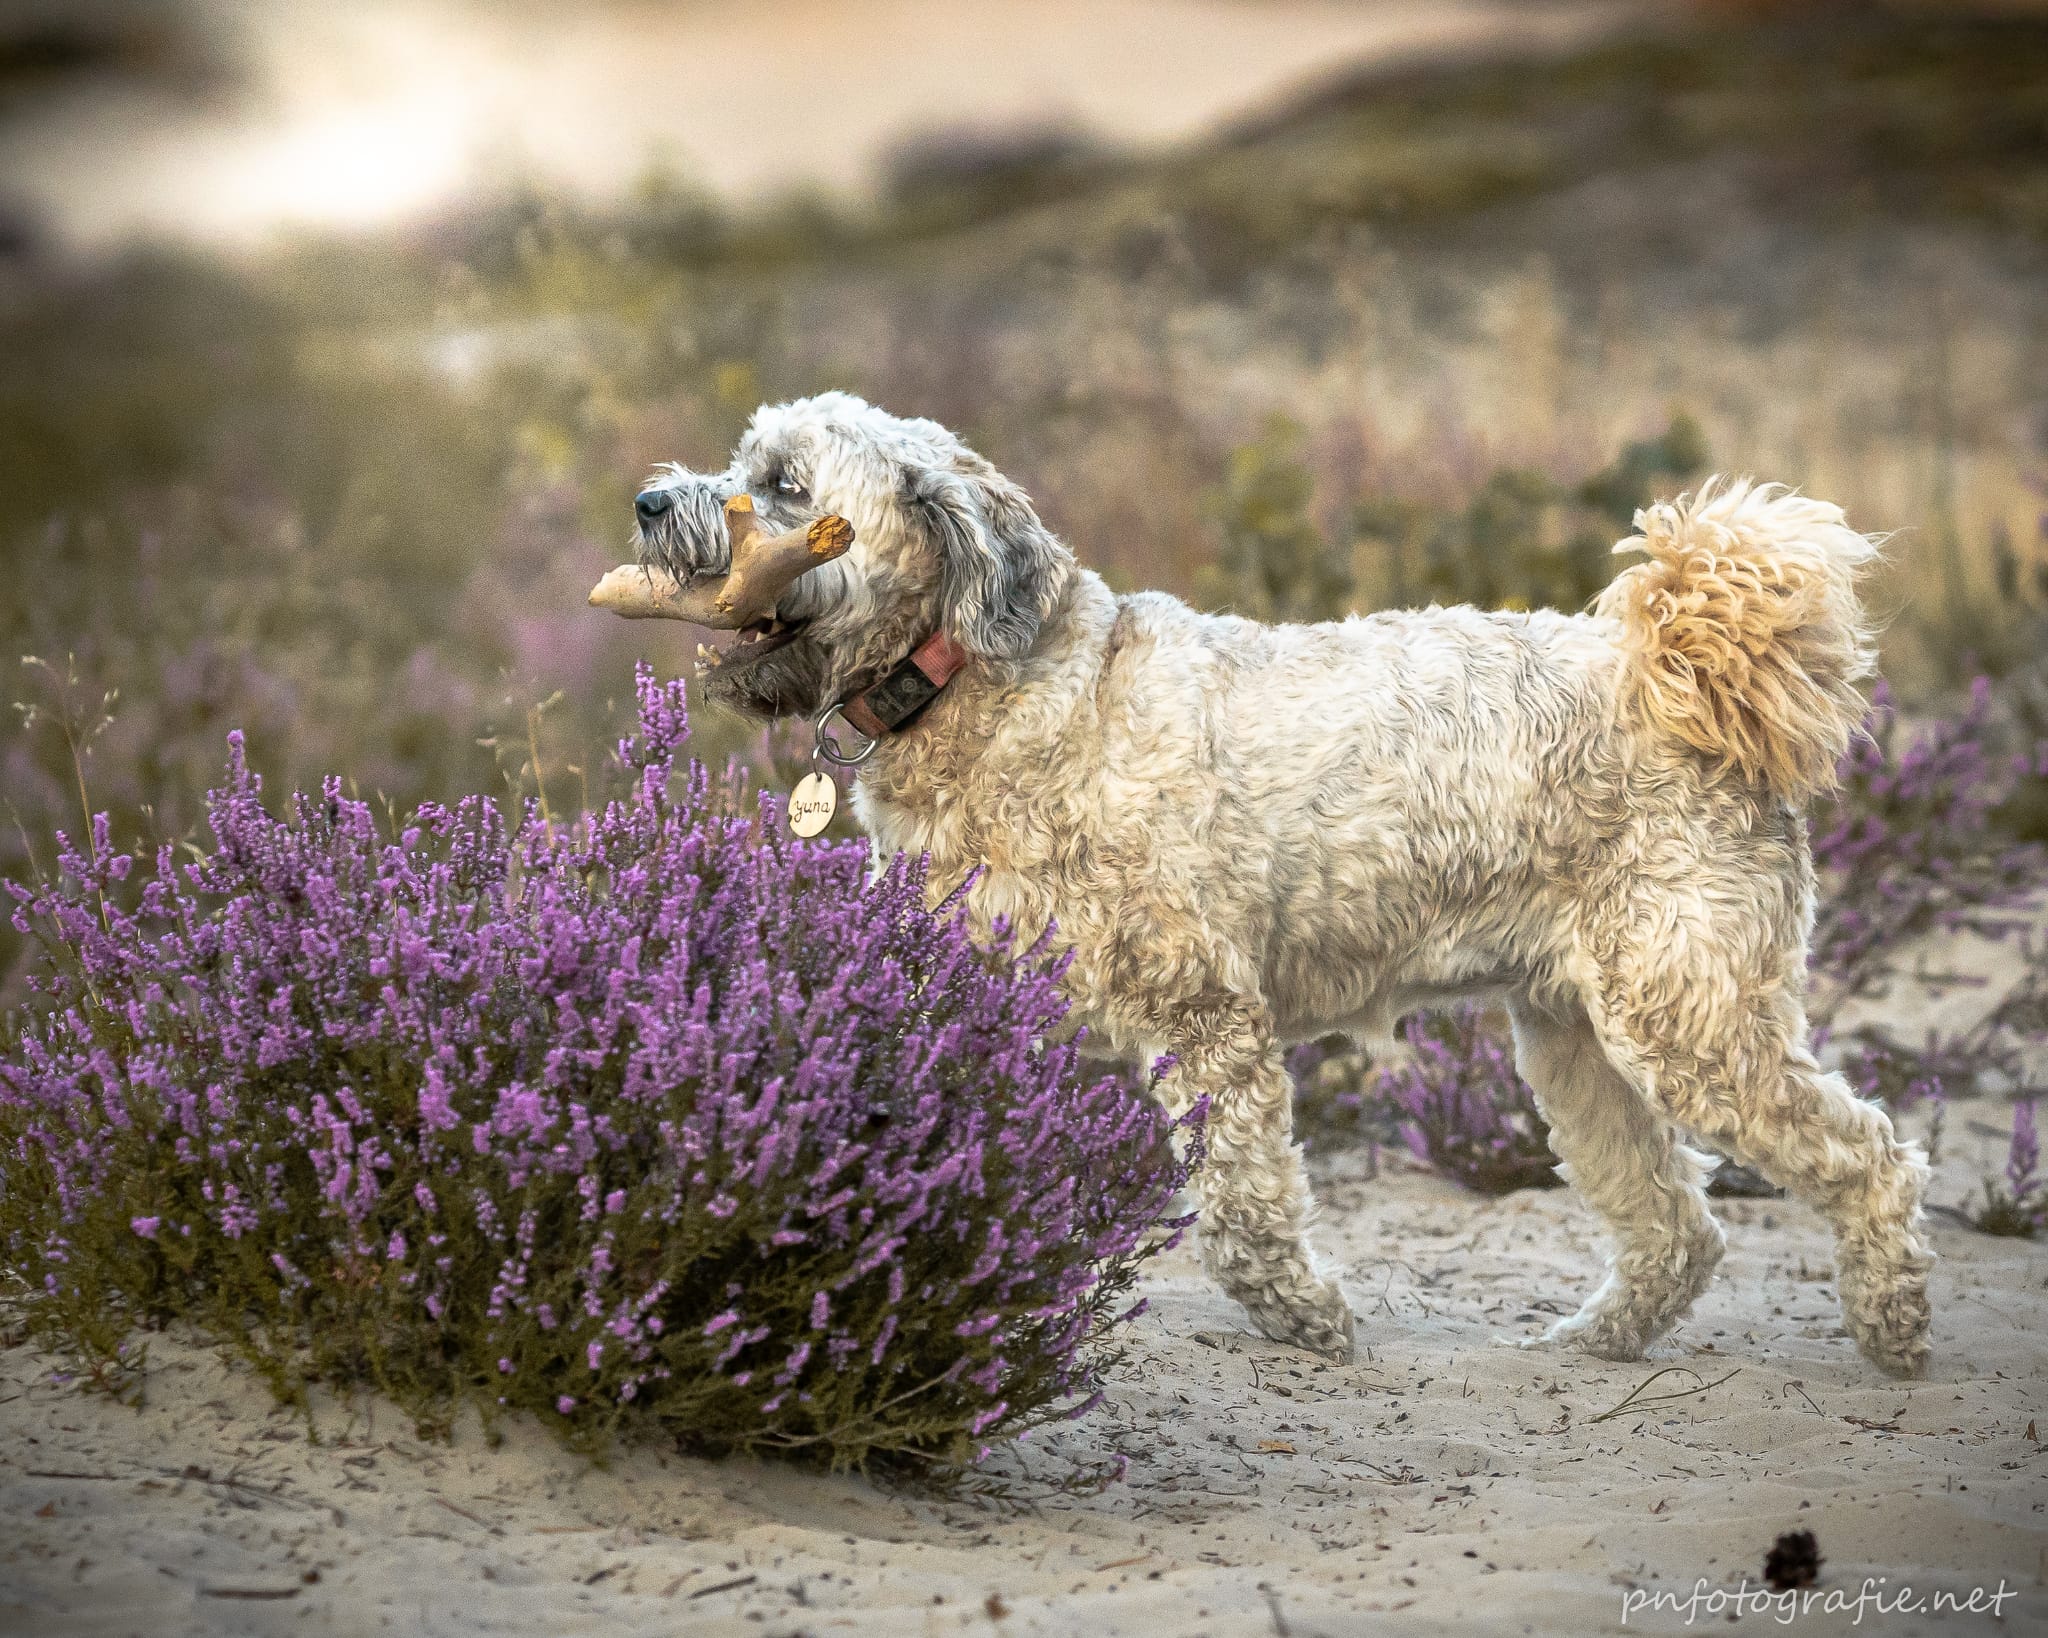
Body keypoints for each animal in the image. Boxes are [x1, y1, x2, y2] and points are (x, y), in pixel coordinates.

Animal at [634, 391, 1933, 1375]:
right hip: (1573, 1037)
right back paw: (1597, 1339)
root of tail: (1673, 673)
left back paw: (1891, 1329)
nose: (648, 503)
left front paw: (1304, 1320)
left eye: (784, 485)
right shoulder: (970, 992)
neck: (975, 689)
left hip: (1687, 1021)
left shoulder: (1206, 1014)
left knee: (1868, 1156)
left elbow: (1242, 1211)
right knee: (1673, 1223)